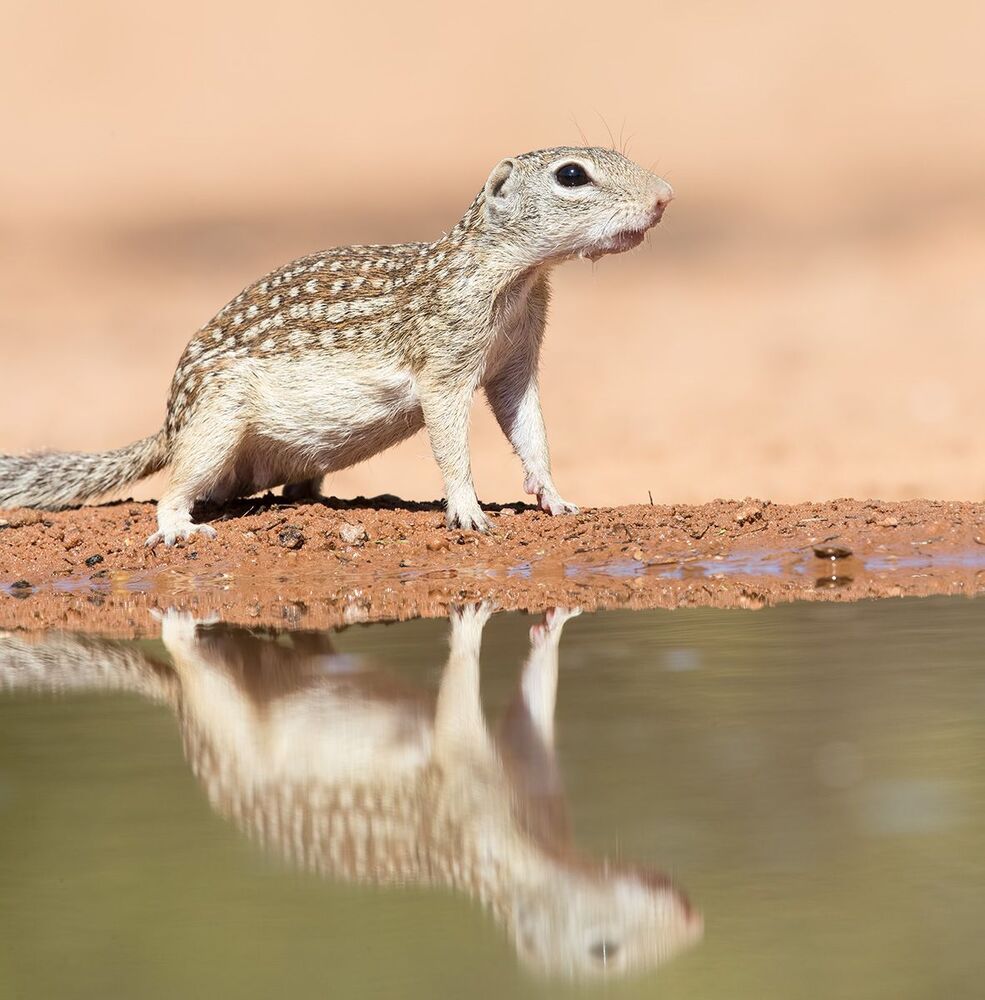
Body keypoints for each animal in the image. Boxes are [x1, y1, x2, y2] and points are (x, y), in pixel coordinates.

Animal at [0, 147, 673, 546]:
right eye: (571, 175)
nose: (665, 196)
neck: (513, 274)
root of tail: (169, 424)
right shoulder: (445, 364)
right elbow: (450, 441)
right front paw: (467, 509)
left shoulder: (517, 356)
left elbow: (528, 425)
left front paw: (555, 498)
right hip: (217, 421)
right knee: (174, 487)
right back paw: (177, 528)